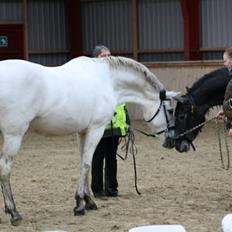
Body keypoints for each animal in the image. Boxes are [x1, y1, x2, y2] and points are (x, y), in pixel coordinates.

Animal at [0, 55, 176, 225]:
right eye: (170, 110)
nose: (172, 141)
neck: (108, 81)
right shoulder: (96, 129)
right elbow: (87, 164)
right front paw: (80, 205)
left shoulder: (82, 132)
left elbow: (84, 163)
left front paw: (88, 201)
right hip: (14, 135)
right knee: (5, 169)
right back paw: (14, 213)